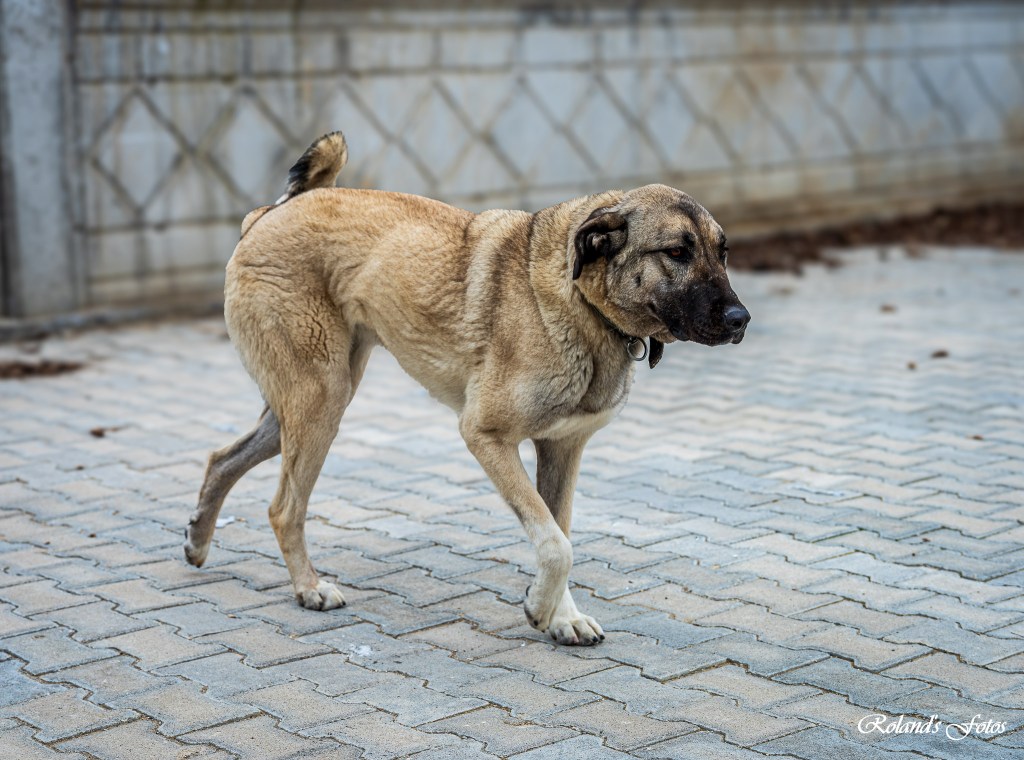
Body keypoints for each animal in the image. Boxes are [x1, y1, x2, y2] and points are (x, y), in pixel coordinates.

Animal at [185, 131, 749, 646]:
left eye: (723, 252)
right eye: (677, 252)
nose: (741, 320)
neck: (580, 303)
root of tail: (270, 213)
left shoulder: (561, 449)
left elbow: (560, 531)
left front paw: (561, 616)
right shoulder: (485, 435)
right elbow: (555, 544)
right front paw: (540, 607)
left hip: (309, 403)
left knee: (221, 460)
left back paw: (197, 540)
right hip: (319, 400)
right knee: (284, 508)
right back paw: (307, 587)